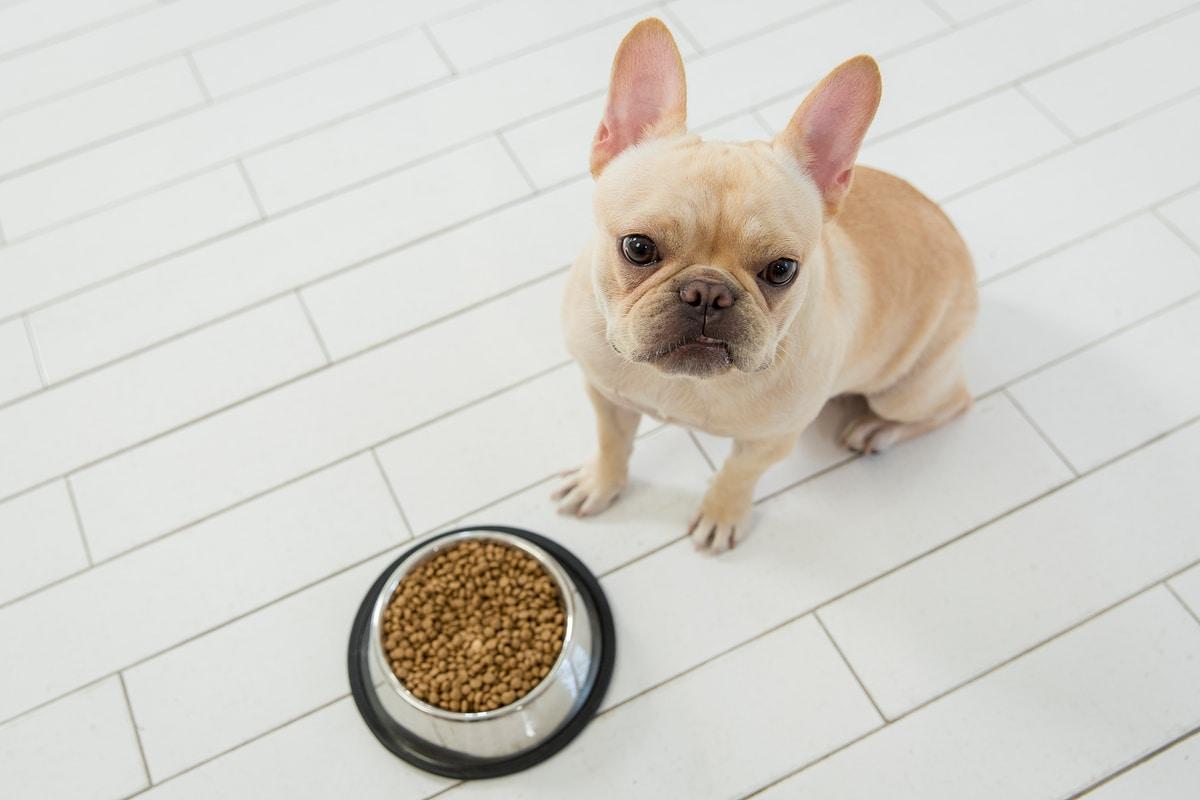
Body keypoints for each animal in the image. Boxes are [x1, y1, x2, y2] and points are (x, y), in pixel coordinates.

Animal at [552, 20, 974, 556]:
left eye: (781, 269)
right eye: (638, 247)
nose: (707, 293)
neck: (684, 385)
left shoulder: (771, 439)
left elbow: (738, 474)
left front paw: (721, 515)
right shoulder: (605, 396)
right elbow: (613, 443)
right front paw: (600, 483)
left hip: (907, 390)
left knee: (954, 403)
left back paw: (877, 429)